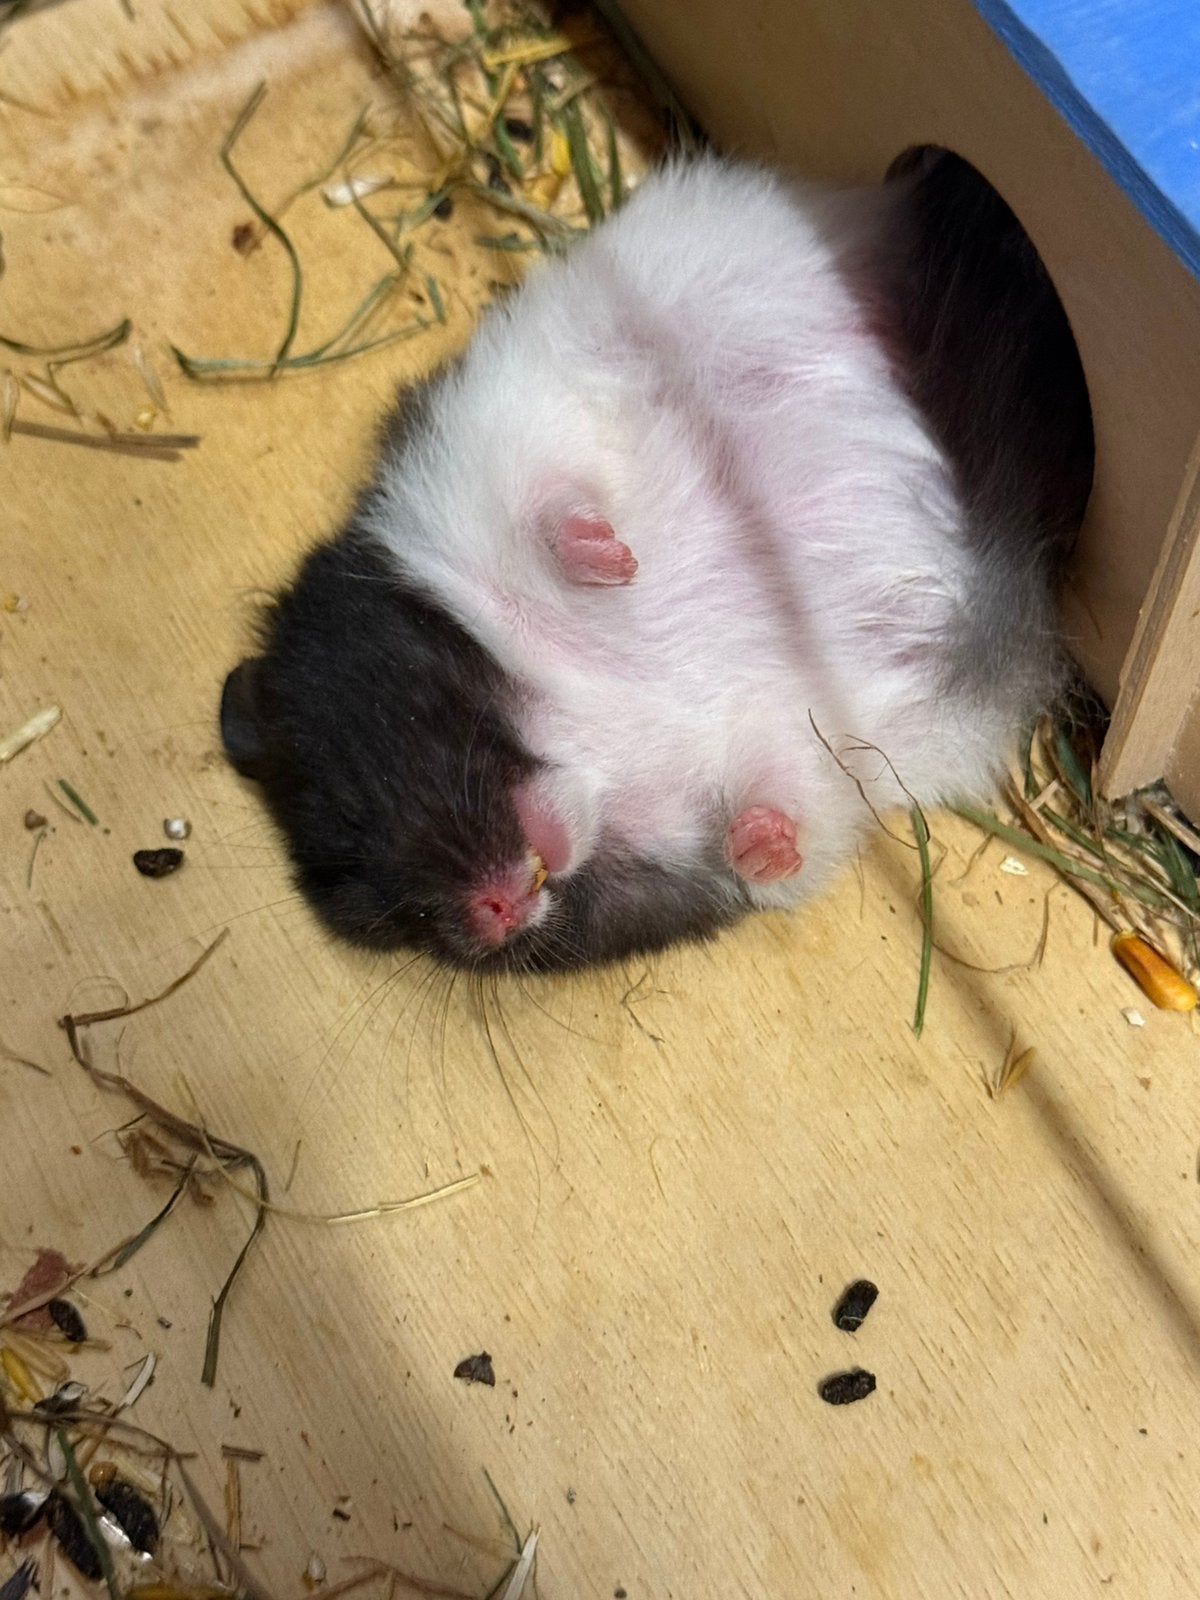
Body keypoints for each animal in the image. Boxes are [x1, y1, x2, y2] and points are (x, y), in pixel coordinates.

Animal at [220, 148, 1093, 973]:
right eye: (383, 913)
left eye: (357, 804)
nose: (493, 918)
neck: (573, 710)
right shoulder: (782, 755)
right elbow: (780, 813)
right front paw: (759, 848)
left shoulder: (485, 457)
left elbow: (554, 507)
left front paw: (616, 560)